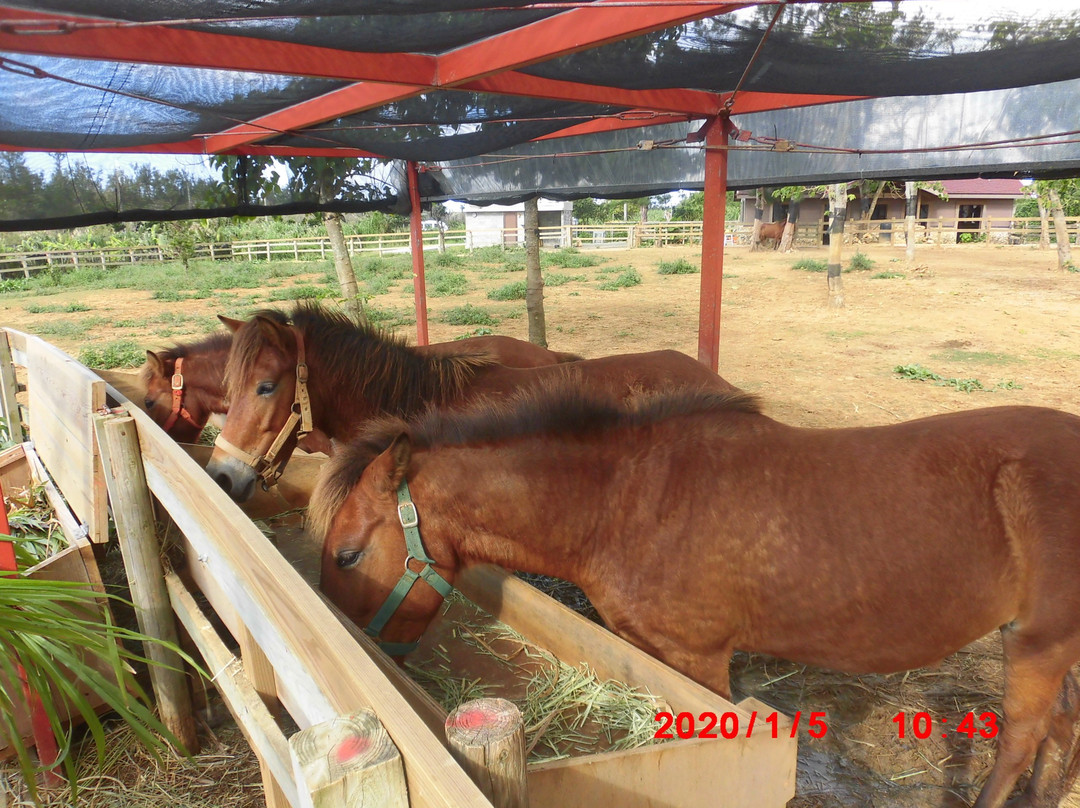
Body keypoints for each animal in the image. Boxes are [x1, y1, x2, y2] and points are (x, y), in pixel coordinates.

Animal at [313, 382, 1080, 808]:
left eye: (348, 554)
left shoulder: (701, 660)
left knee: (1022, 736)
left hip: (1037, 641)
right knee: (1060, 730)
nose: (364, 656)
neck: (622, 500)